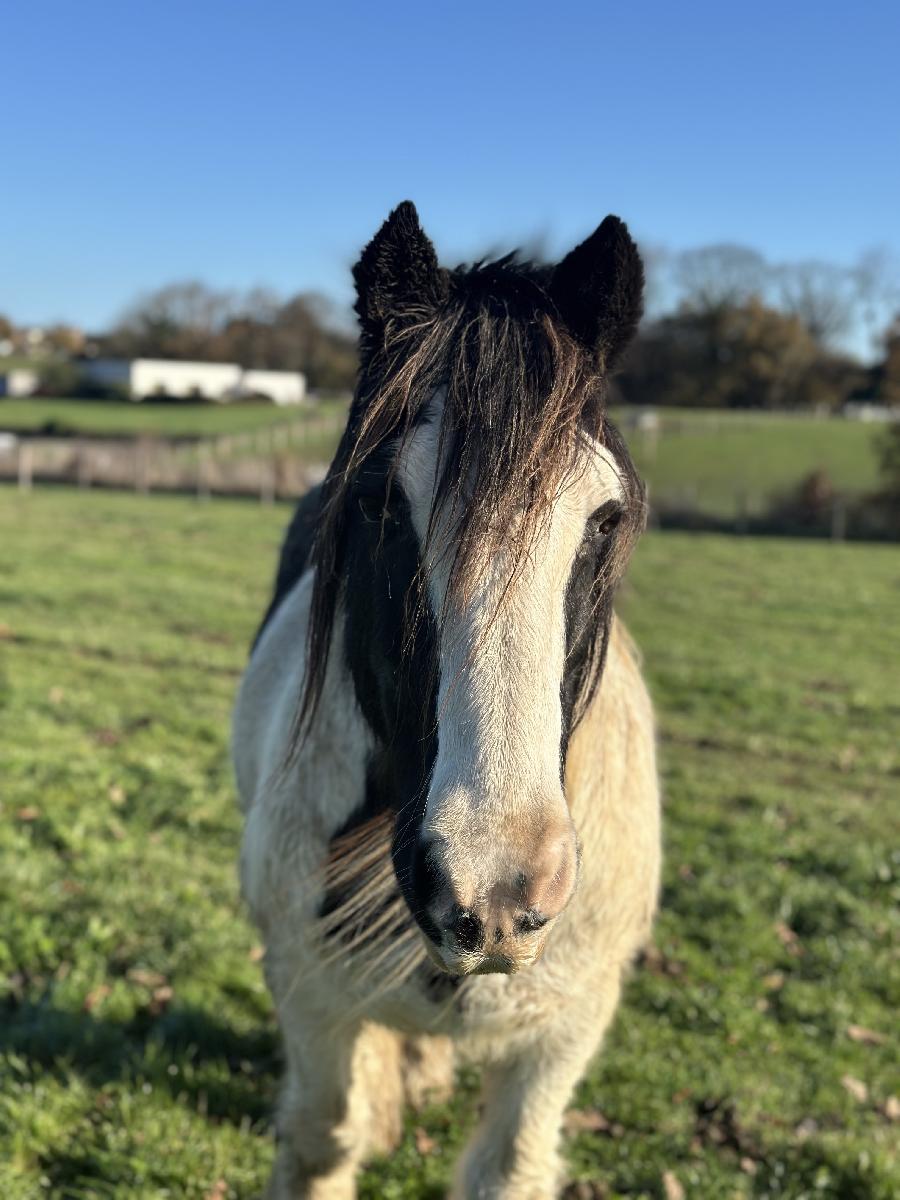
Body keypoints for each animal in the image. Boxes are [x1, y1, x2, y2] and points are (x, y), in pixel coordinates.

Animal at [232, 201, 661, 1199]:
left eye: (604, 519)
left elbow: (510, 1167)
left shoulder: (562, 1038)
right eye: (383, 504)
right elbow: (324, 1139)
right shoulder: (310, 1002)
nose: (496, 890)